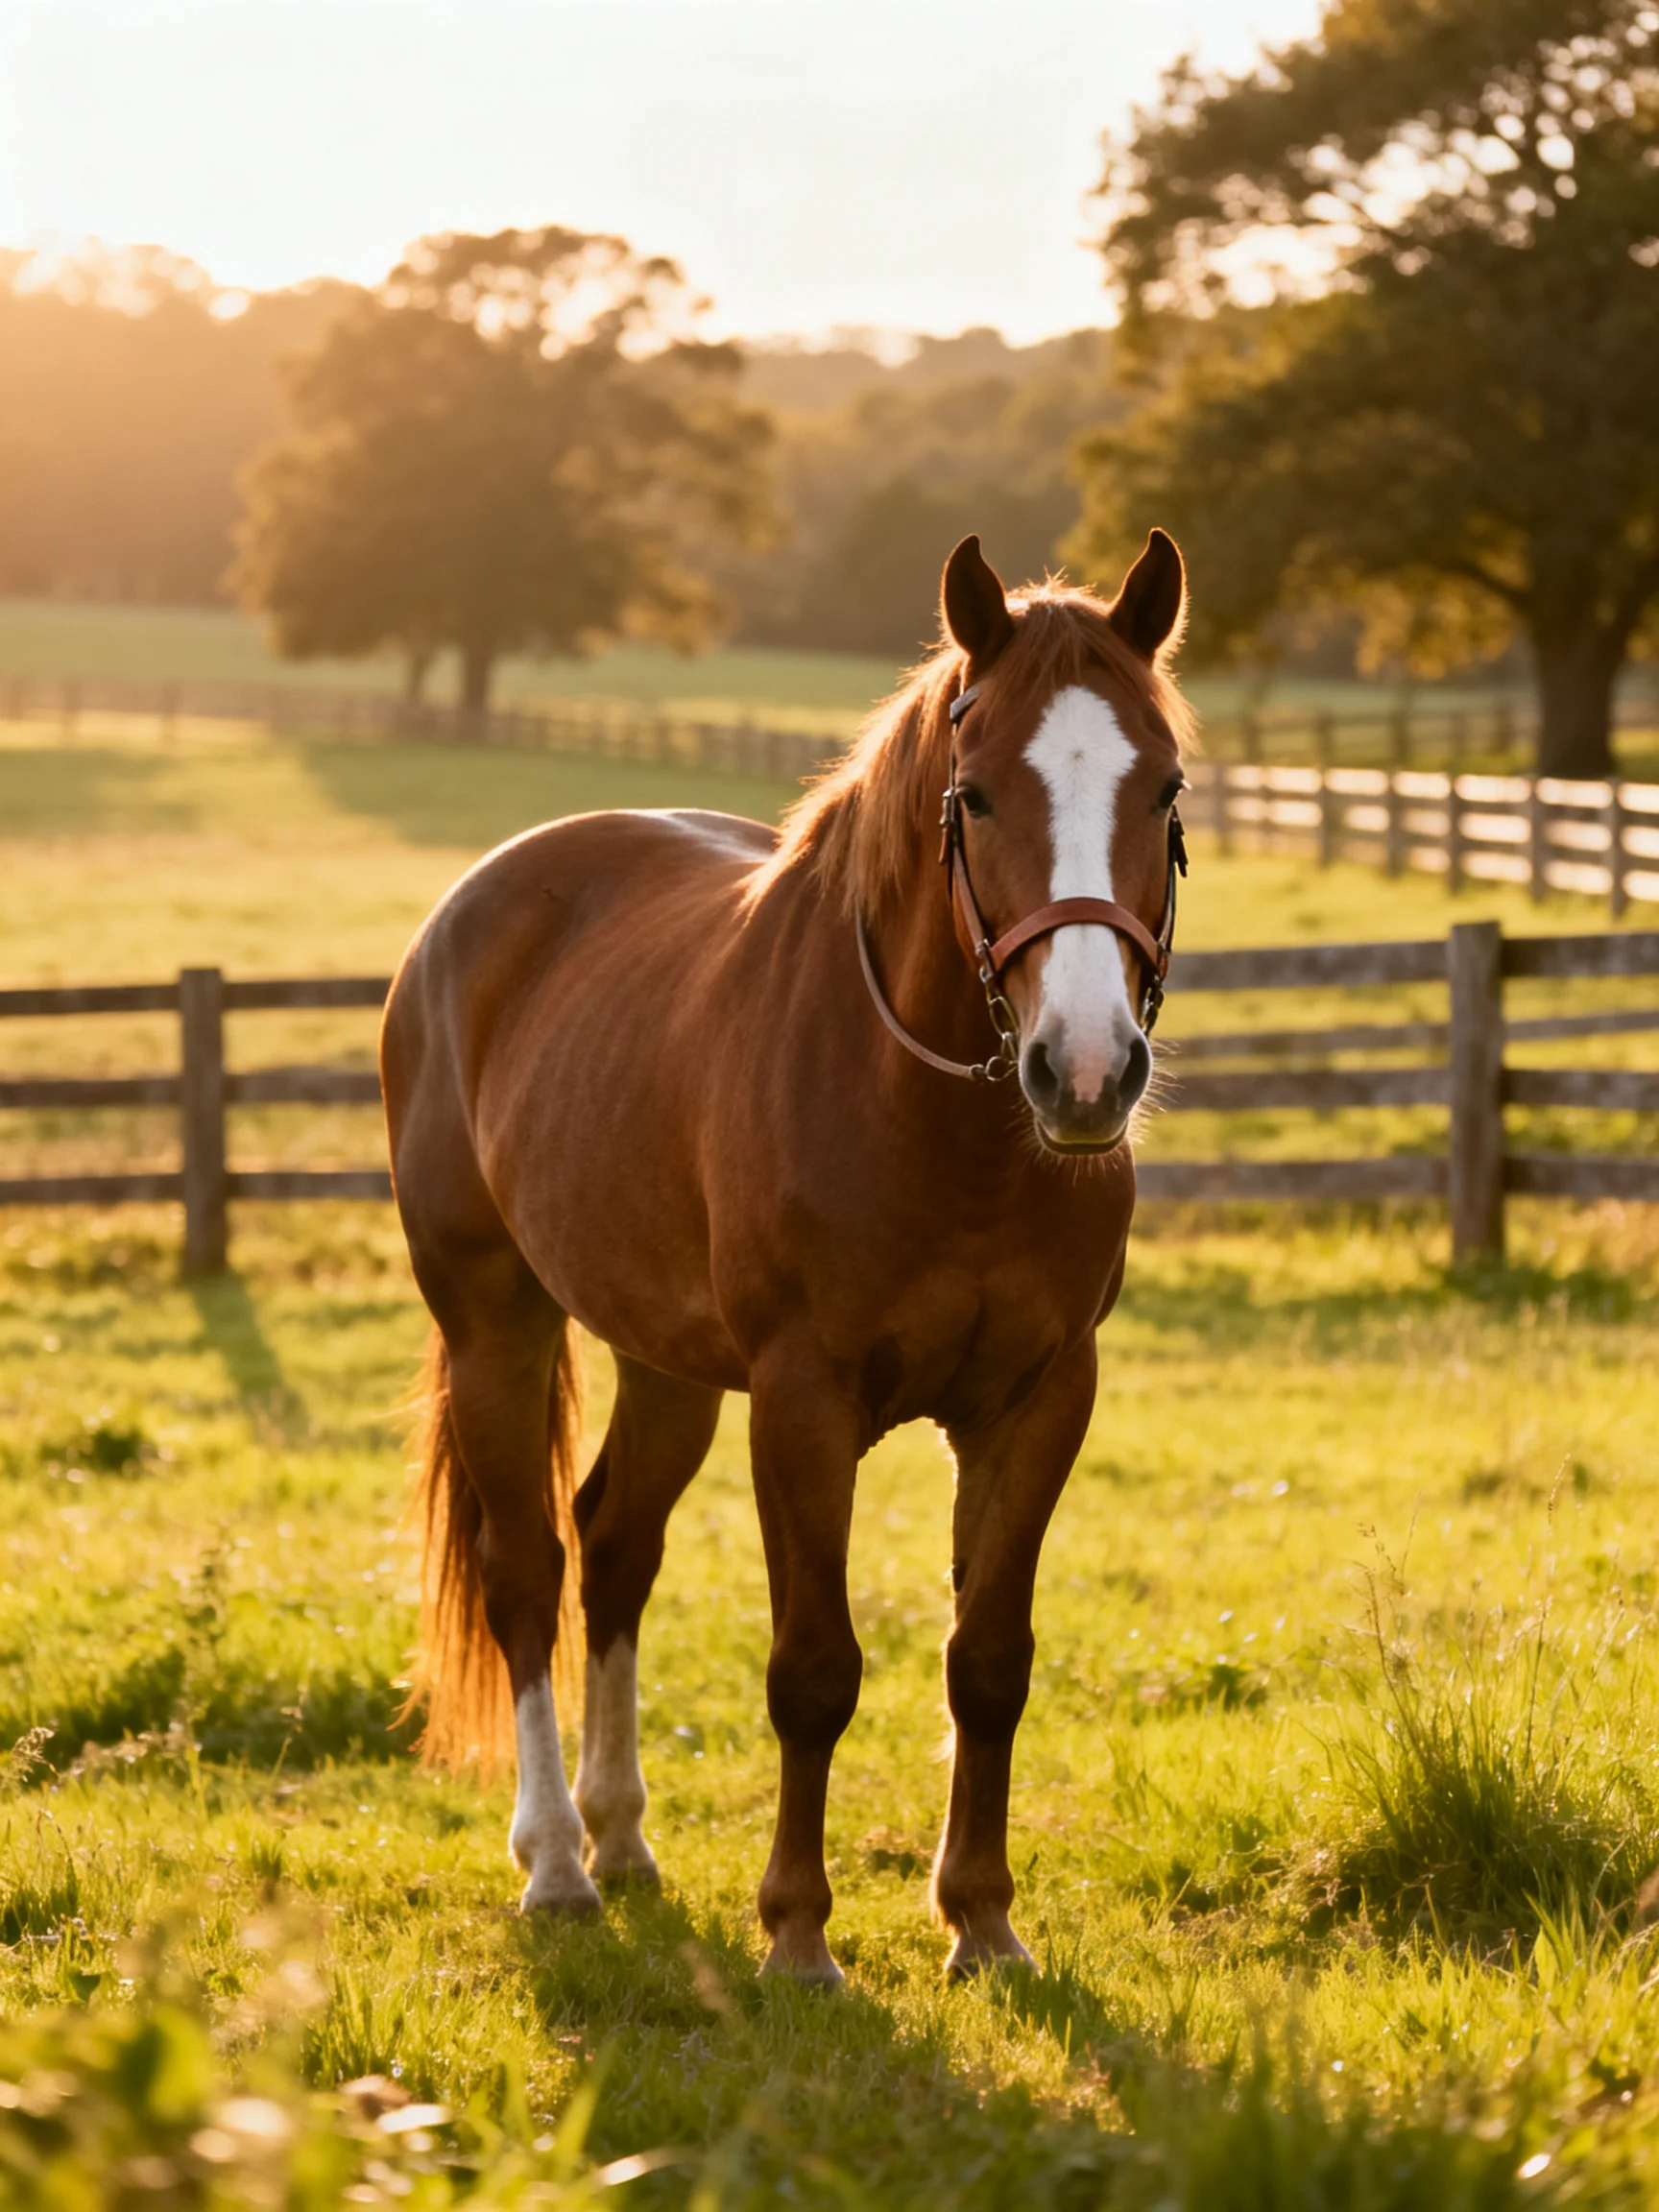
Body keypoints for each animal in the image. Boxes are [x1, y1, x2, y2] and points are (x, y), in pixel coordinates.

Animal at [380, 530, 1192, 1983]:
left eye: (1162, 790)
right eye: (977, 796)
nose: (1089, 1070)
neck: (936, 1125)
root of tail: (470, 913)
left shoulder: (1040, 1400)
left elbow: (989, 1661)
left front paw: (983, 1921)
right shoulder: (804, 1406)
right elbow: (814, 1670)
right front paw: (799, 1936)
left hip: (665, 1360)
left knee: (614, 1542)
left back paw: (621, 1837)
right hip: (493, 1322)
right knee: (528, 1568)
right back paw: (556, 1865)